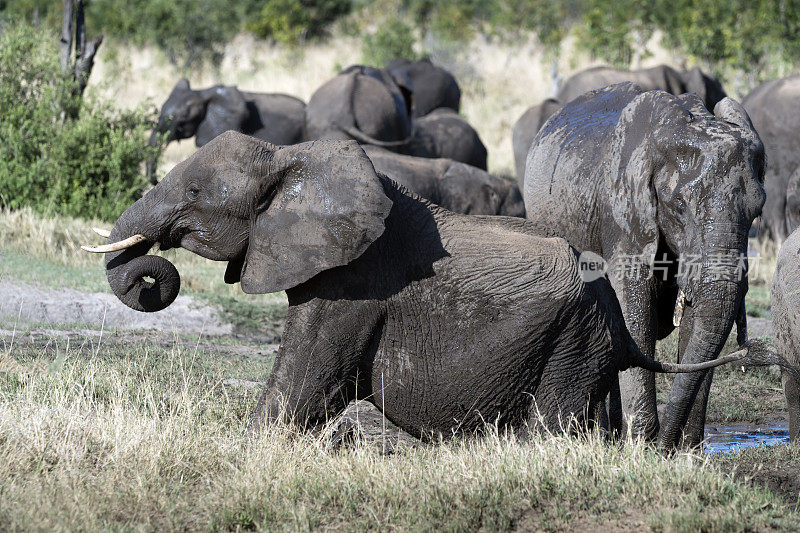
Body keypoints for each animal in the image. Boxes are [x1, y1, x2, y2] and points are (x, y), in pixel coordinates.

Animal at [520, 84, 764, 448]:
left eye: (757, 211)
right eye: (679, 207)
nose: (666, 446)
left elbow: (695, 318)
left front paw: (688, 451)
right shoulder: (621, 212)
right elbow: (635, 310)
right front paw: (643, 446)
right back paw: (603, 436)